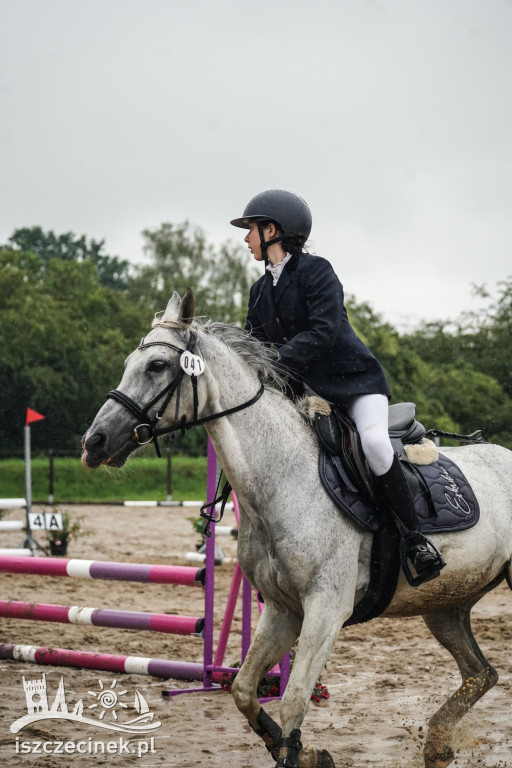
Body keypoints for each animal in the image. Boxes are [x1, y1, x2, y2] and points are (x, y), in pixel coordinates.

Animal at [82, 290, 512, 768]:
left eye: (157, 366)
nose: (94, 443)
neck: (283, 476)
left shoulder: (326, 608)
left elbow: (294, 699)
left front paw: (299, 753)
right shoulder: (282, 609)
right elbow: (243, 690)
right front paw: (301, 751)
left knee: (482, 673)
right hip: (445, 605)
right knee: (482, 673)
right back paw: (437, 743)